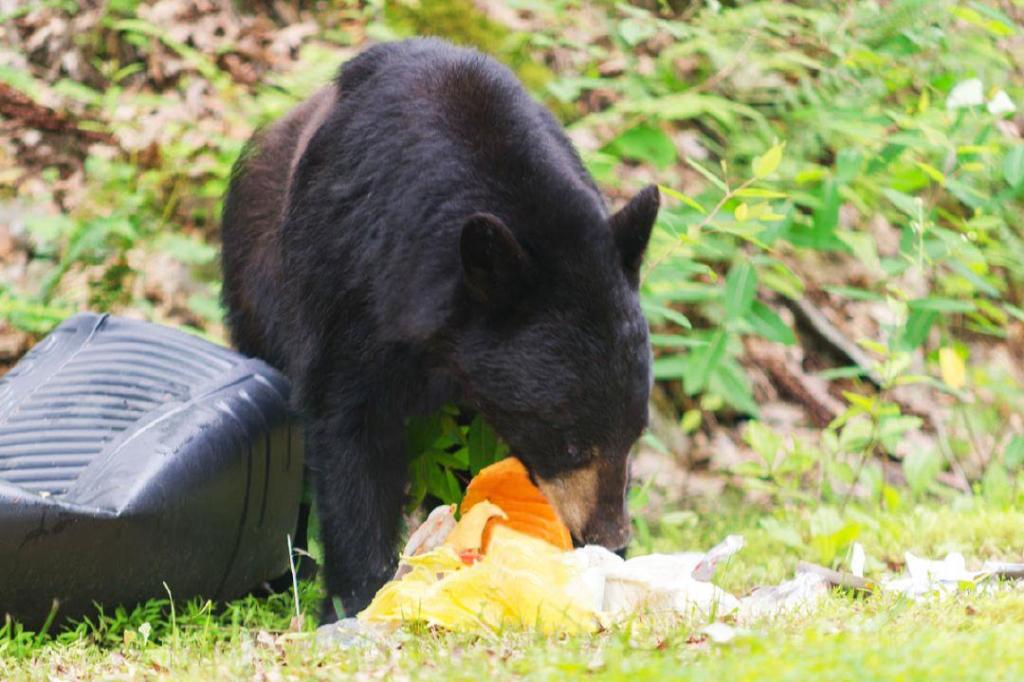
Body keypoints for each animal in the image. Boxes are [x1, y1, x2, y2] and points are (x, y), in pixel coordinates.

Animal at [220, 38, 659, 621]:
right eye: (567, 443)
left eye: (636, 432)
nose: (609, 538)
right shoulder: (349, 284)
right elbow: (348, 430)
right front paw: (357, 596)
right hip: (256, 290)